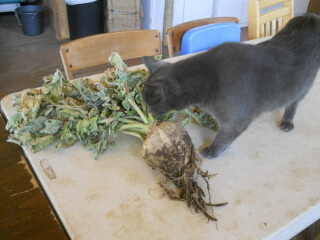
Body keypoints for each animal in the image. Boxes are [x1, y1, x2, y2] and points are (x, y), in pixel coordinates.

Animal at [143, 13, 320, 159]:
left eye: (150, 102)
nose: (148, 111)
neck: (208, 81)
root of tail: (311, 16)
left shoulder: (237, 121)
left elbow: (223, 137)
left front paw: (213, 151)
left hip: (305, 84)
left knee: (294, 102)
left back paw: (287, 122)